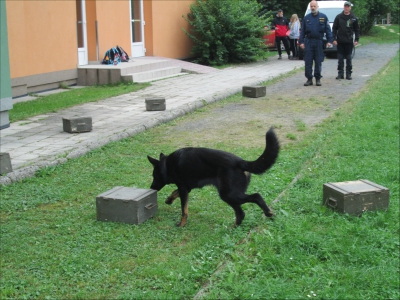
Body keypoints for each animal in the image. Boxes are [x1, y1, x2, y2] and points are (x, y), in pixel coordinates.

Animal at [146, 127, 278, 227]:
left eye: (154, 175)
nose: (151, 188)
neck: (167, 165)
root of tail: (240, 162)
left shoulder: (183, 189)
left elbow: (184, 210)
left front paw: (182, 224)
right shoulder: (187, 188)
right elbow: (174, 192)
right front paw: (169, 200)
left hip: (229, 194)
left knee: (256, 196)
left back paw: (268, 213)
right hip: (229, 195)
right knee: (240, 213)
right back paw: (234, 227)